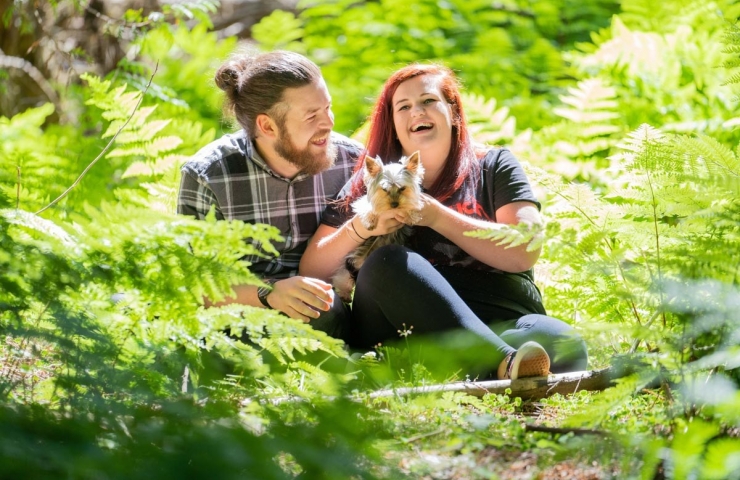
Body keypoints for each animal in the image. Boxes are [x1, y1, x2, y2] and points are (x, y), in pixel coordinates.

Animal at [332, 150, 424, 302]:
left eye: (402, 188)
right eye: (384, 189)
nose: (394, 204)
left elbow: (411, 205)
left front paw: (411, 214)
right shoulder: (363, 202)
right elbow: (367, 207)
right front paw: (370, 220)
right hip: (351, 262)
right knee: (342, 277)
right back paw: (344, 294)